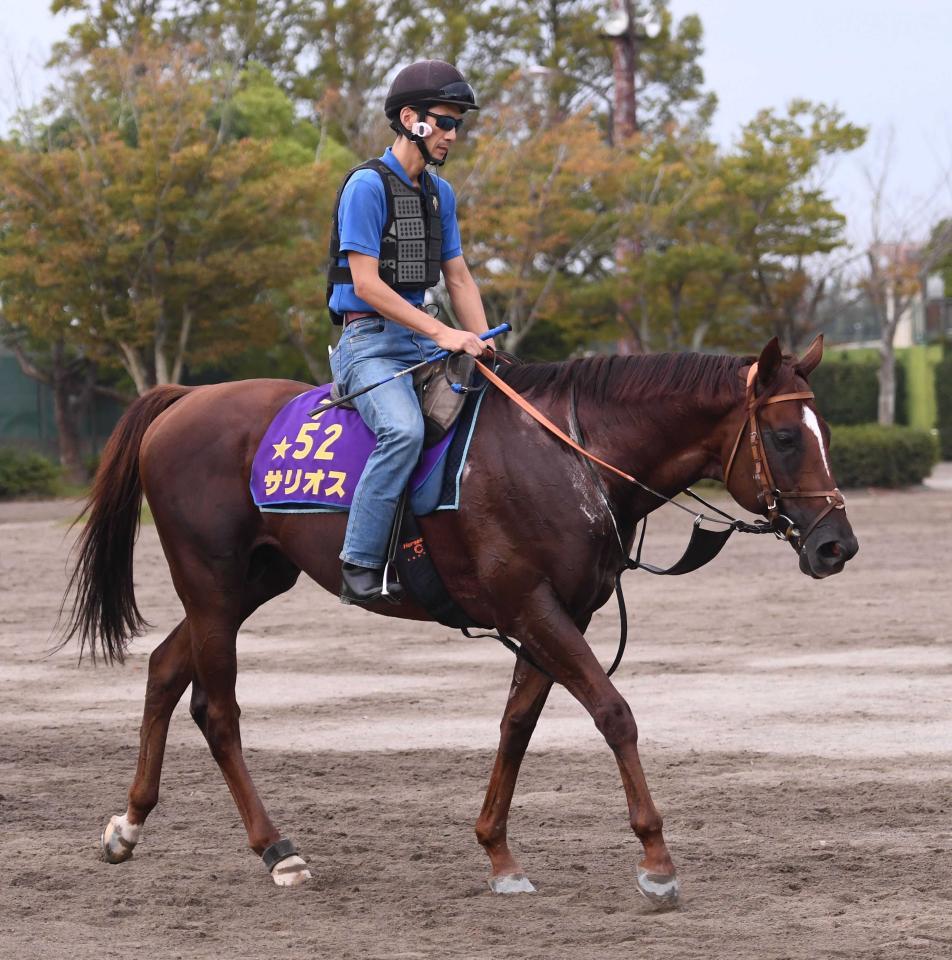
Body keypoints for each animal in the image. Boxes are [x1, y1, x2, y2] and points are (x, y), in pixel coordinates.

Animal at [63, 336, 860, 908]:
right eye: (785, 437)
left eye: (823, 431)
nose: (836, 545)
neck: (566, 455)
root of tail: (184, 401)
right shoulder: (533, 606)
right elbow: (613, 712)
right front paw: (656, 861)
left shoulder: (557, 614)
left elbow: (517, 725)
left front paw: (498, 853)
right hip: (214, 588)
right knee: (218, 708)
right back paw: (276, 849)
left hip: (245, 586)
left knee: (167, 670)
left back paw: (129, 825)